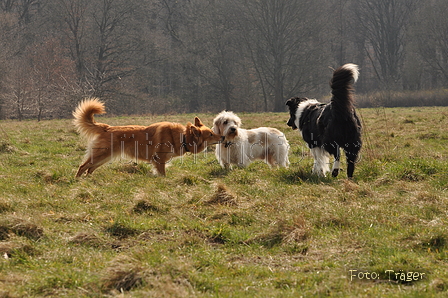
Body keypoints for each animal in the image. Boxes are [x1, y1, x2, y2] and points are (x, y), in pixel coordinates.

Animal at [73, 98, 224, 177]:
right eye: (211, 134)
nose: (222, 137)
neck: (184, 137)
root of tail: (107, 127)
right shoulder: (159, 160)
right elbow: (162, 174)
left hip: (105, 157)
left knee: (90, 169)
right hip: (102, 154)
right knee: (83, 166)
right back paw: (78, 180)